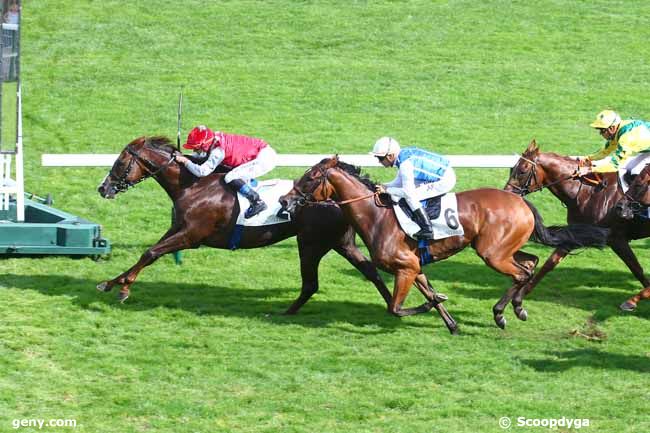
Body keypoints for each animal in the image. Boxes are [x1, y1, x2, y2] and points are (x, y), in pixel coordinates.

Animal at [96, 137, 456, 330]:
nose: (103, 188)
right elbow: (149, 251)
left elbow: (150, 253)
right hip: (338, 243)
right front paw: (111, 282)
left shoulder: (190, 235)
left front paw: (123, 288)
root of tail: (336, 200)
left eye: (121, 162)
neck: (193, 185)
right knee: (369, 270)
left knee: (314, 282)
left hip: (311, 242)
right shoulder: (177, 229)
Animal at [278, 155, 608, 328]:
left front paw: (428, 306)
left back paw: (502, 313)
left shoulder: (406, 267)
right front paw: (450, 322)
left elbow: (395, 308)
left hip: (492, 253)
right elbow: (428, 293)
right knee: (530, 263)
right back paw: (516, 307)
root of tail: (520, 200)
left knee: (521, 273)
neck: (377, 216)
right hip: (502, 249)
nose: (285, 200)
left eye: (310, 177)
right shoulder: (414, 267)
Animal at [504, 140, 648, 312]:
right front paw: (519, 297)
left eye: (522, 171)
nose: (506, 193)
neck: (588, 192)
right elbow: (549, 264)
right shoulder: (576, 235)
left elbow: (636, 268)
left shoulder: (617, 239)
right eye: (512, 168)